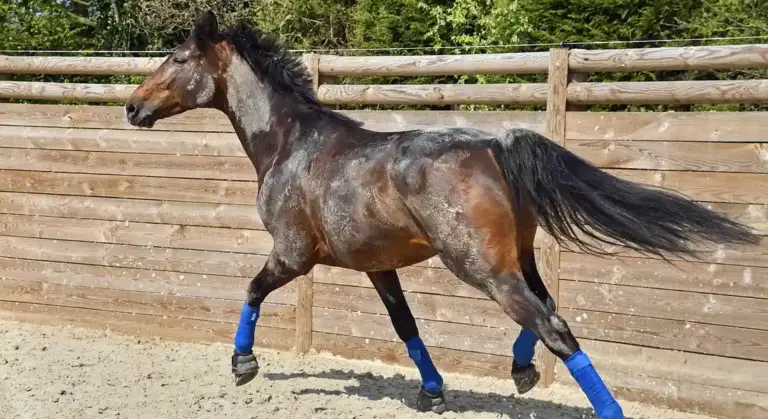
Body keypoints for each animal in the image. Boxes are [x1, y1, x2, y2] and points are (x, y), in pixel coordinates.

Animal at [124, 11, 760, 419]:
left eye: (177, 57)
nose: (133, 107)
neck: (291, 144)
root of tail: (497, 145)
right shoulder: (377, 266)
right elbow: (406, 326)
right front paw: (432, 391)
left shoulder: (293, 254)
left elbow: (252, 289)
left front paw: (243, 364)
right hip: (512, 258)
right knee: (547, 310)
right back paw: (521, 370)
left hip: (478, 266)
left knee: (552, 325)